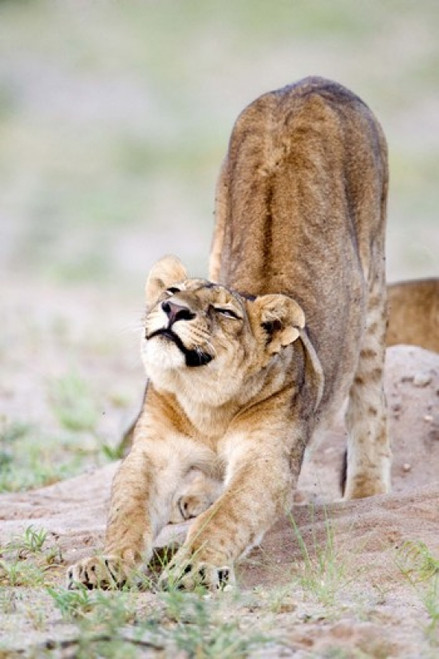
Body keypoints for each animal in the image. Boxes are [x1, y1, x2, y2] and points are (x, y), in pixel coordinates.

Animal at [67, 76, 390, 591]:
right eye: (172, 291)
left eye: (222, 311)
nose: (172, 309)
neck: (207, 404)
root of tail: (310, 82)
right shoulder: (151, 454)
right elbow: (128, 511)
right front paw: (107, 564)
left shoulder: (266, 462)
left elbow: (229, 515)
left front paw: (195, 569)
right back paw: (195, 494)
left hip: (373, 288)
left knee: (369, 400)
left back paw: (366, 493)